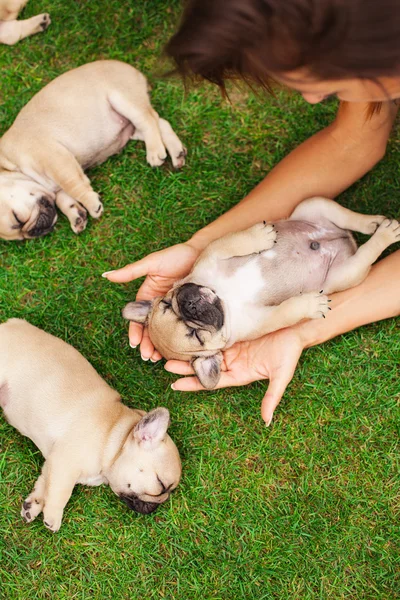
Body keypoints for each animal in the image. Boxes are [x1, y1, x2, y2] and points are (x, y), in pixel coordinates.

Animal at [0, 59, 187, 240]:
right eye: (20, 238)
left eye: (18, 218)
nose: (35, 232)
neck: (10, 165)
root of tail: (130, 69)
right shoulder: (55, 184)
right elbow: (64, 199)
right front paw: (75, 216)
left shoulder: (54, 159)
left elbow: (73, 184)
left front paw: (91, 204)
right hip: (132, 128)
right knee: (160, 121)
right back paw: (177, 152)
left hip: (123, 99)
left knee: (148, 119)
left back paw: (155, 152)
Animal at [0, 322, 181, 532]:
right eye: (160, 486)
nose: (161, 501)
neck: (114, 438)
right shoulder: (65, 463)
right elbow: (61, 491)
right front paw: (53, 517)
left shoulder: (53, 463)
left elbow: (45, 483)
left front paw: (34, 504)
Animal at [123, 197, 398, 390]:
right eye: (197, 337)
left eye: (168, 303)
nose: (188, 302)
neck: (225, 298)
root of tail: (344, 238)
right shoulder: (262, 321)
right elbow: (288, 310)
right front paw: (310, 305)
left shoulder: (213, 252)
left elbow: (237, 241)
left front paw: (260, 235)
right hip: (346, 274)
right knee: (363, 255)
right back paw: (383, 234)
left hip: (313, 205)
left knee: (347, 218)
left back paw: (374, 223)